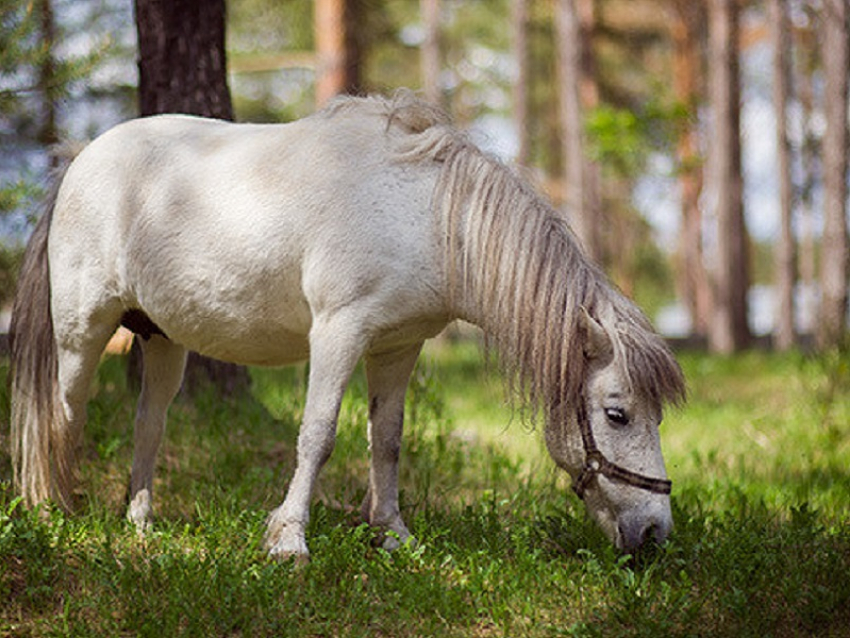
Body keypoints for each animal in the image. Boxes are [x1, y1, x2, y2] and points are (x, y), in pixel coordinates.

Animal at [9, 92, 684, 564]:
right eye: (617, 413)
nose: (655, 532)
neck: (426, 217)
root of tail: (80, 157)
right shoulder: (339, 332)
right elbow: (319, 434)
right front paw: (288, 540)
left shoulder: (398, 346)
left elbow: (386, 439)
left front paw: (392, 533)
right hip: (83, 331)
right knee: (63, 412)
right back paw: (54, 509)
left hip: (161, 339)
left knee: (148, 422)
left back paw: (140, 520)